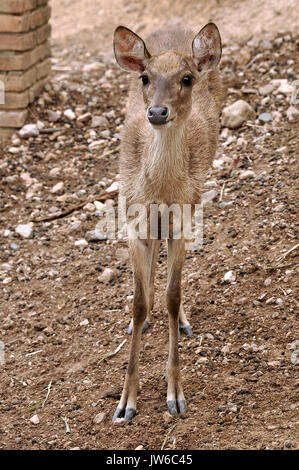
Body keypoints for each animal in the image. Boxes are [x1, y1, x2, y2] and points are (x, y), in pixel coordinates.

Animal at [112, 22, 223, 424]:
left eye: (187, 78)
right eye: (145, 77)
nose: (157, 112)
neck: (160, 193)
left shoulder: (183, 224)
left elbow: (172, 297)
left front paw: (175, 396)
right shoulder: (132, 222)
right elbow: (139, 301)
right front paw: (125, 404)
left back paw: (185, 321)